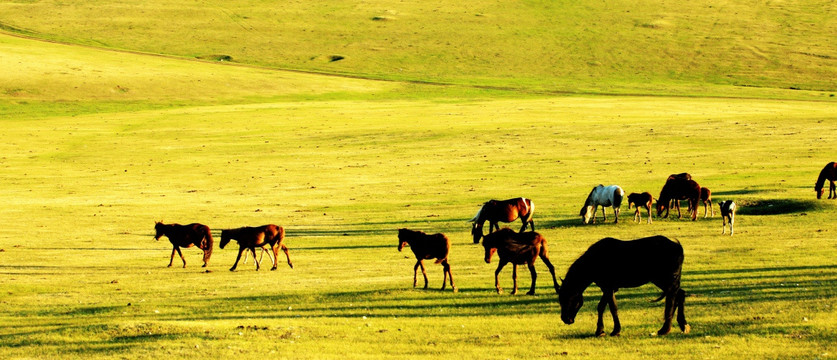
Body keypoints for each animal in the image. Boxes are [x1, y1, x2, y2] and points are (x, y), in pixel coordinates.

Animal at [560, 236, 688, 338]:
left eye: (568, 298)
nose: (565, 319)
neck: (593, 261)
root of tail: (678, 247)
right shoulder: (608, 288)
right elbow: (601, 307)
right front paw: (600, 331)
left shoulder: (608, 287)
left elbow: (613, 307)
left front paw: (615, 330)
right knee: (680, 294)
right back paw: (683, 325)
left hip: (664, 280)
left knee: (672, 298)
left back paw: (665, 329)